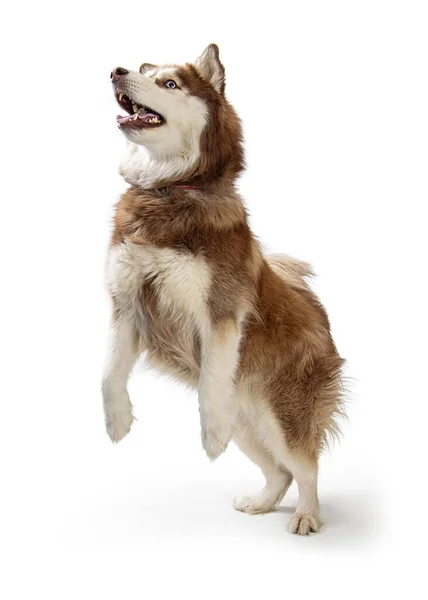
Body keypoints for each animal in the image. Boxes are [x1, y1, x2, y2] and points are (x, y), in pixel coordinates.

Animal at [103, 45, 344, 536]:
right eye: (143, 71)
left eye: (170, 83)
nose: (117, 70)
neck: (168, 190)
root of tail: (319, 312)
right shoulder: (127, 302)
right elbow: (109, 372)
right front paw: (118, 420)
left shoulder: (221, 312)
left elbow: (211, 378)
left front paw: (209, 434)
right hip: (249, 423)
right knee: (281, 471)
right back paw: (262, 502)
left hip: (281, 415)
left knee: (306, 466)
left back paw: (307, 516)